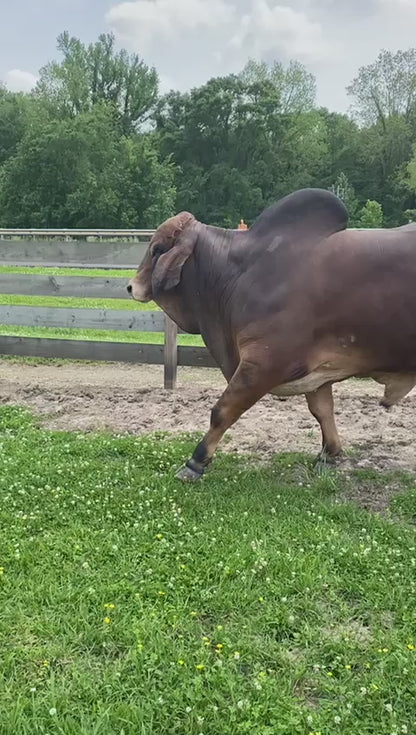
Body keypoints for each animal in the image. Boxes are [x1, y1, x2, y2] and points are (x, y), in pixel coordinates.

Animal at [127, 187, 416, 480]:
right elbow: (322, 410)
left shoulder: (263, 364)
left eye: (157, 249)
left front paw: (195, 462)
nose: (130, 286)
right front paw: (329, 452)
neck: (236, 274)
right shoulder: (314, 371)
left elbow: (223, 410)